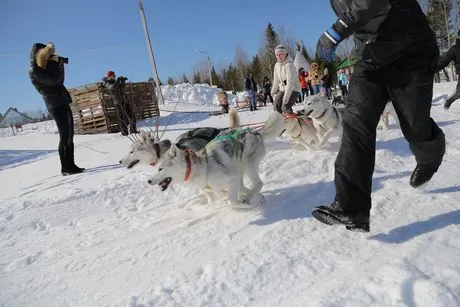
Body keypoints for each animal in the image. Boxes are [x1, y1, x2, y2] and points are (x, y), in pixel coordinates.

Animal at [148, 112, 284, 208]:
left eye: (160, 169)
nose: (148, 181)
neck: (201, 168)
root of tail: (255, 131)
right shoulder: (223, 184)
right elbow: (226, 193)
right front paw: (255, 197)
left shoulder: (232, 178)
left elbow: (232, 200)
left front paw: (243, 203)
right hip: (239, 166)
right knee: (246, 185)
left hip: (247, 164)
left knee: (259, 184)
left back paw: (250, 197)